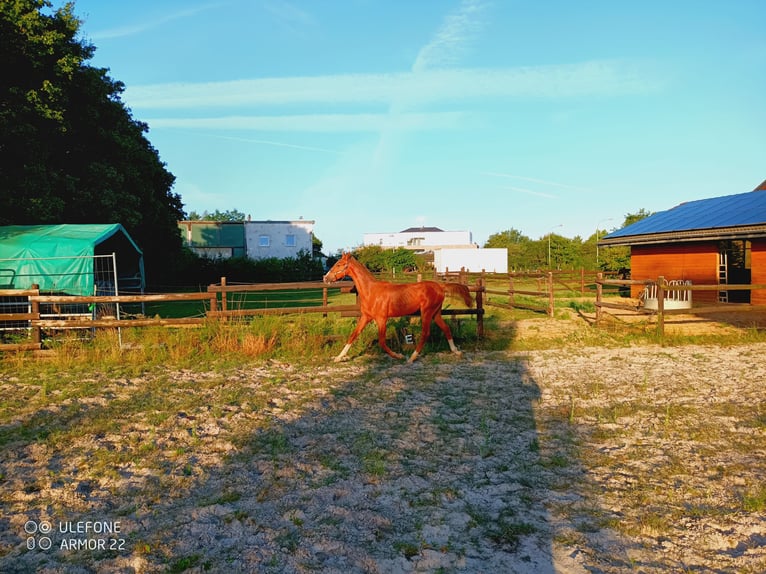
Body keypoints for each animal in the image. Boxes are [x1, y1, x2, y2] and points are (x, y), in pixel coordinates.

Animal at [324, 253, 474, 364]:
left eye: (339, 264)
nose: (325, 278)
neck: (371, 291)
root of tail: (440, 286)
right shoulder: (366, 317)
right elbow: (353, 335)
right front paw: (338, 358)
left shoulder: (381, 319)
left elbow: (382, 342)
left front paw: (399, 356)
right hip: (435, 313)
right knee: (446, 328)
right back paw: (456, 351)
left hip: (427, 312)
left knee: (425, 333)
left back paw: (411, 358)